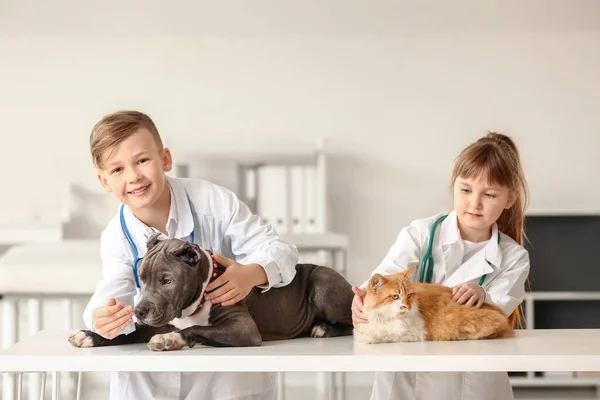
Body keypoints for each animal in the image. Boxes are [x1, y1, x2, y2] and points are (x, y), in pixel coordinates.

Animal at [68, 236, 354, 352]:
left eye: (167, 281)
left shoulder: (244, 328)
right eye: (142, 278)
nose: (139, 310)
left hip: (322, 282)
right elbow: (129, 332)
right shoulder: (160, 321)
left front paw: (171, 340)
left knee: (350, 322)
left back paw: (324, 328)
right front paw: (89, 335)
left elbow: (197, 329)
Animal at [354, 266, 512, 344]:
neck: (386, 318)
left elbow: (385, 335)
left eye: (409, 295)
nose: (407, 306)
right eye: (395, 296)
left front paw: (372, 338)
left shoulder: (415, 334)